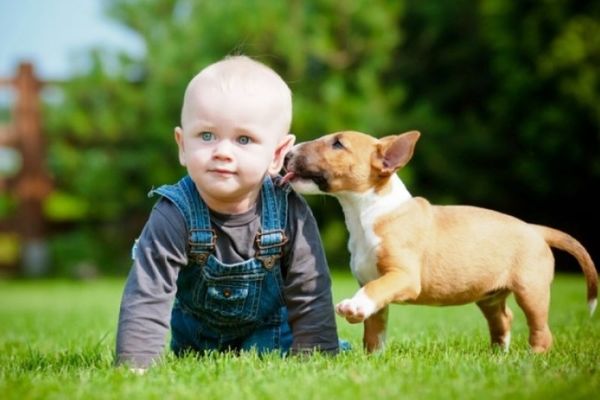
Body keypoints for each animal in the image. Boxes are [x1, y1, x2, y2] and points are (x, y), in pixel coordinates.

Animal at [282, 131, 596, 354]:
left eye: (338, 144)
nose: (287, 155)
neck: (368, 212)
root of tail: (536, 229)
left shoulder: (403, 277)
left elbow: (374, 290)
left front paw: (353, 308)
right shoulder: (372, 282)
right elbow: (375, 327)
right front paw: (374, 358)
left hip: (532, 290)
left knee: (541, 328)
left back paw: (533, 357)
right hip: (490, 295)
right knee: (503, 319)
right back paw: (498, 354)